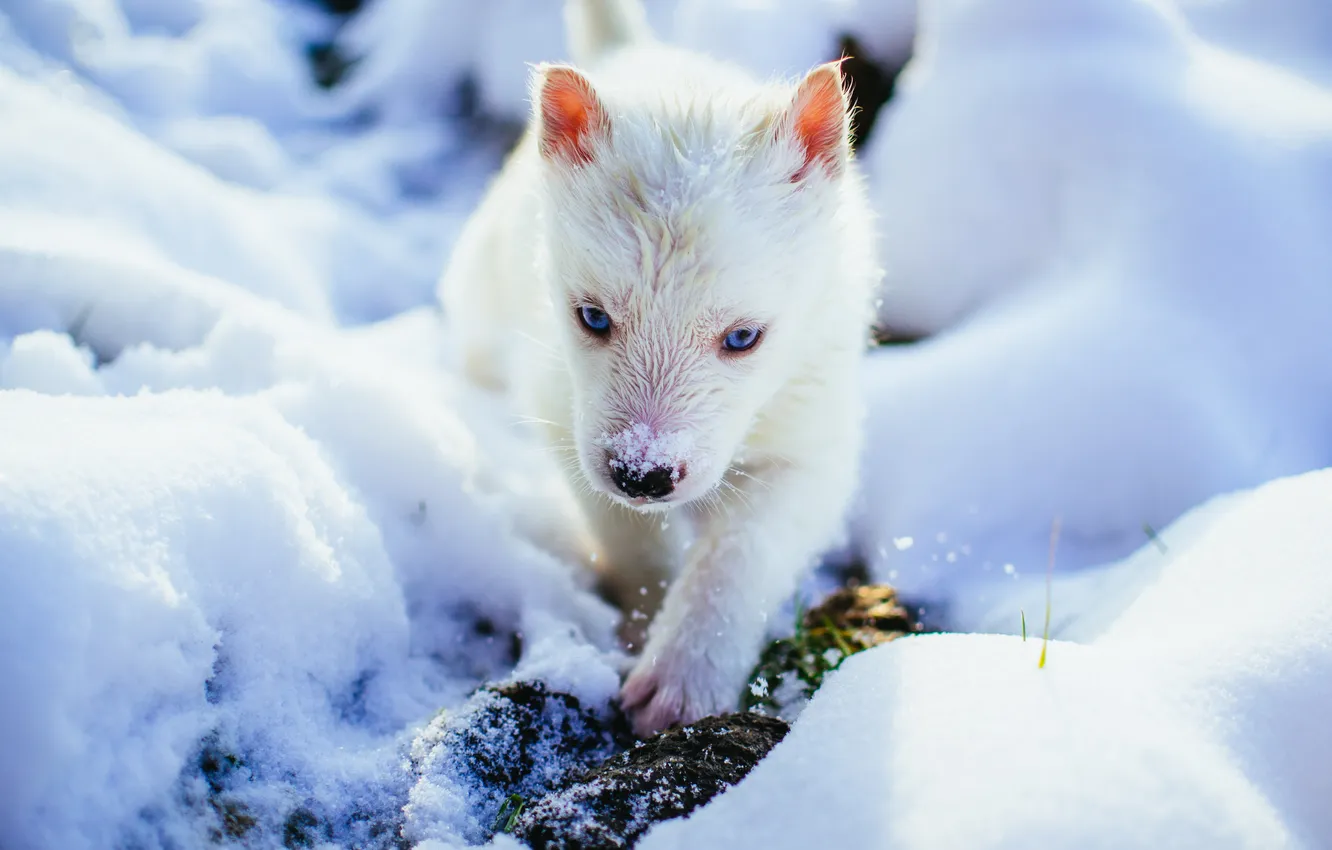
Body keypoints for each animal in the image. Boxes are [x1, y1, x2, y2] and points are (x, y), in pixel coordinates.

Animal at [440, 0, 881, 735]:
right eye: (592, 317)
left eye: (744, 337)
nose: (641, 475)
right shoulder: (564, 410)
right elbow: (628, 535)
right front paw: (644, 622)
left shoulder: (811, 438)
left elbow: (742, 553)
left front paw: (682, 680)